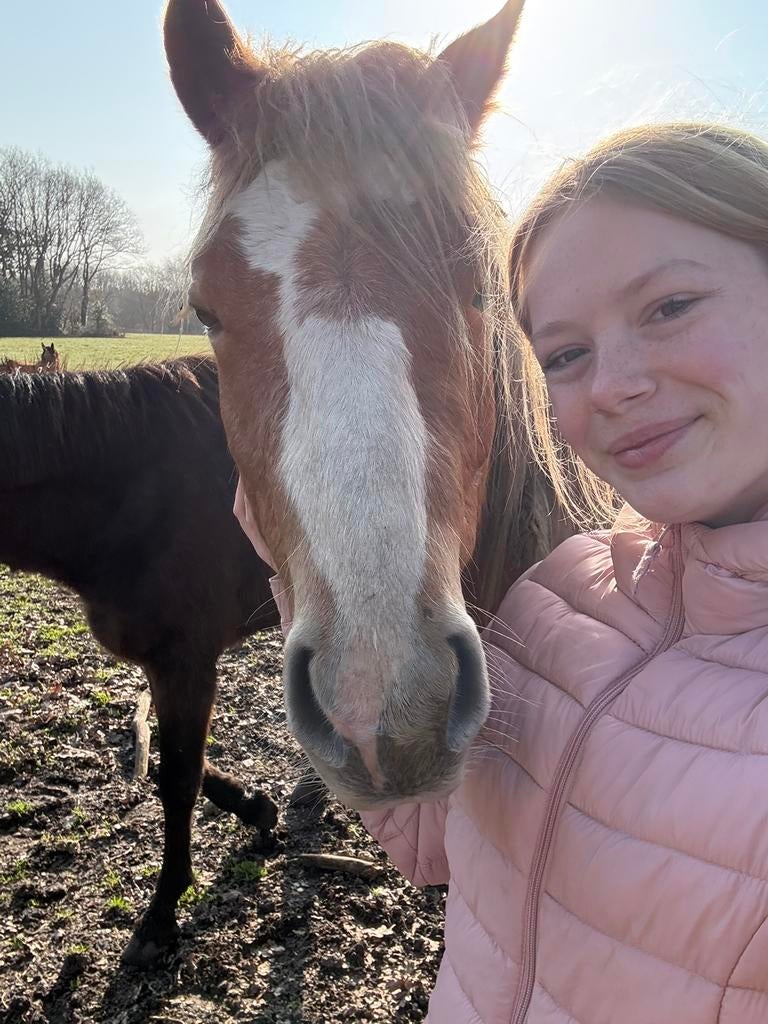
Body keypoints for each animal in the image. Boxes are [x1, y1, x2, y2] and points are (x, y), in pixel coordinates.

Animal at [0, 356, 280, 966]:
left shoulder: (186, 662)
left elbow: (178, 778)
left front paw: (161, 912)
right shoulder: (165, 665)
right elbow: (183, 767)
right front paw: (256, 806)